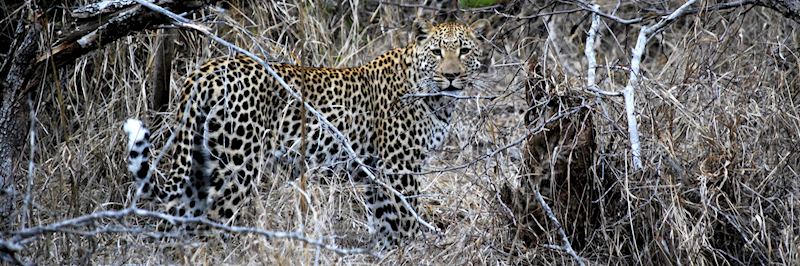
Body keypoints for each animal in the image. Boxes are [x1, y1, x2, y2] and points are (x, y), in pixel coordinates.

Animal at [122, 18, 490, 247]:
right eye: (437, 52)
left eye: (465, 51)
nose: (452, 76)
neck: (437, 98)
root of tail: (207, 69)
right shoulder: (399, 169)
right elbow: (406, 220)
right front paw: (411, 252)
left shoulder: (376, 173)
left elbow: (386, 224)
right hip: (236, 167)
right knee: (211, 223)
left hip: (201, 159)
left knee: (176, 219)